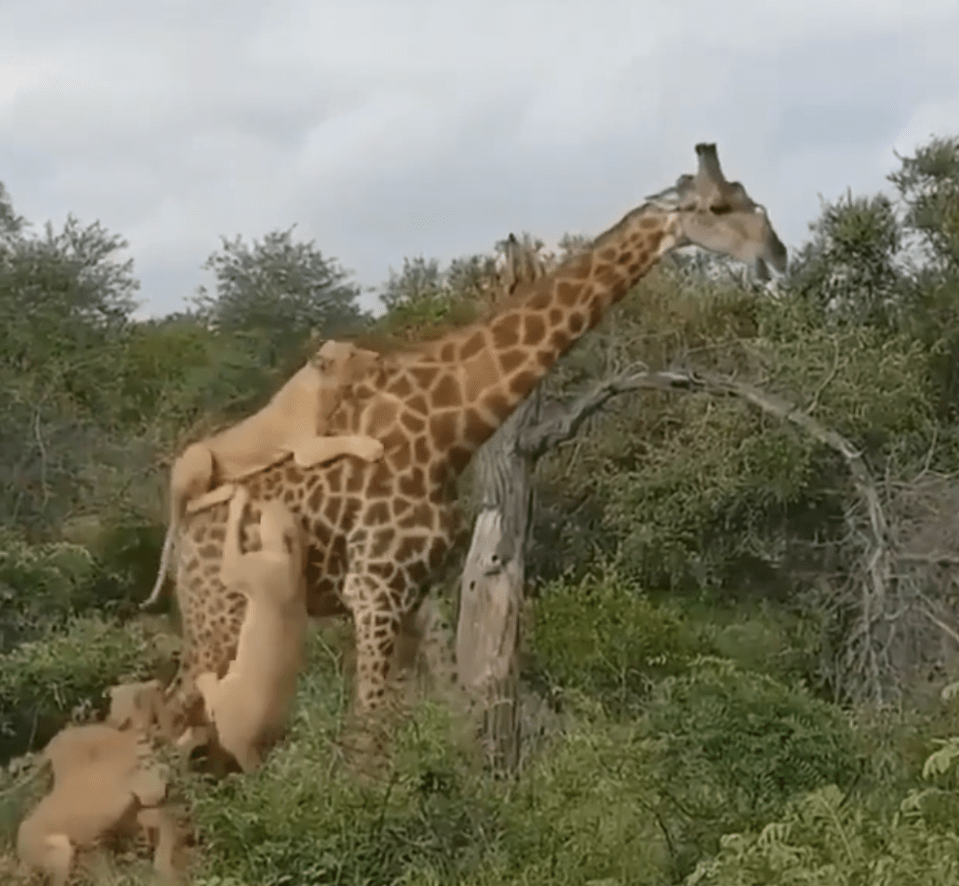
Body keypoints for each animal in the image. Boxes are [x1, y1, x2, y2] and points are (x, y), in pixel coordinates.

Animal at [141, 340, 388, 612]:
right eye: (352, 355)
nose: (378, 356)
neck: (322, 385)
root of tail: (173, 481)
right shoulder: (305, 450)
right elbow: (340, 441)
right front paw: (371, 447)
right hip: (199, 454)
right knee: (193, 502)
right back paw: (228, 487)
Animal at [174, 482, 306, 772]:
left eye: (270, 512)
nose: (269, 501)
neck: (289, 560)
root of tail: (246, 747)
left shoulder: (241, 569)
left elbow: (232, 549)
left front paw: (239, 499)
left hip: (224, 695)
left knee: (208, 693)